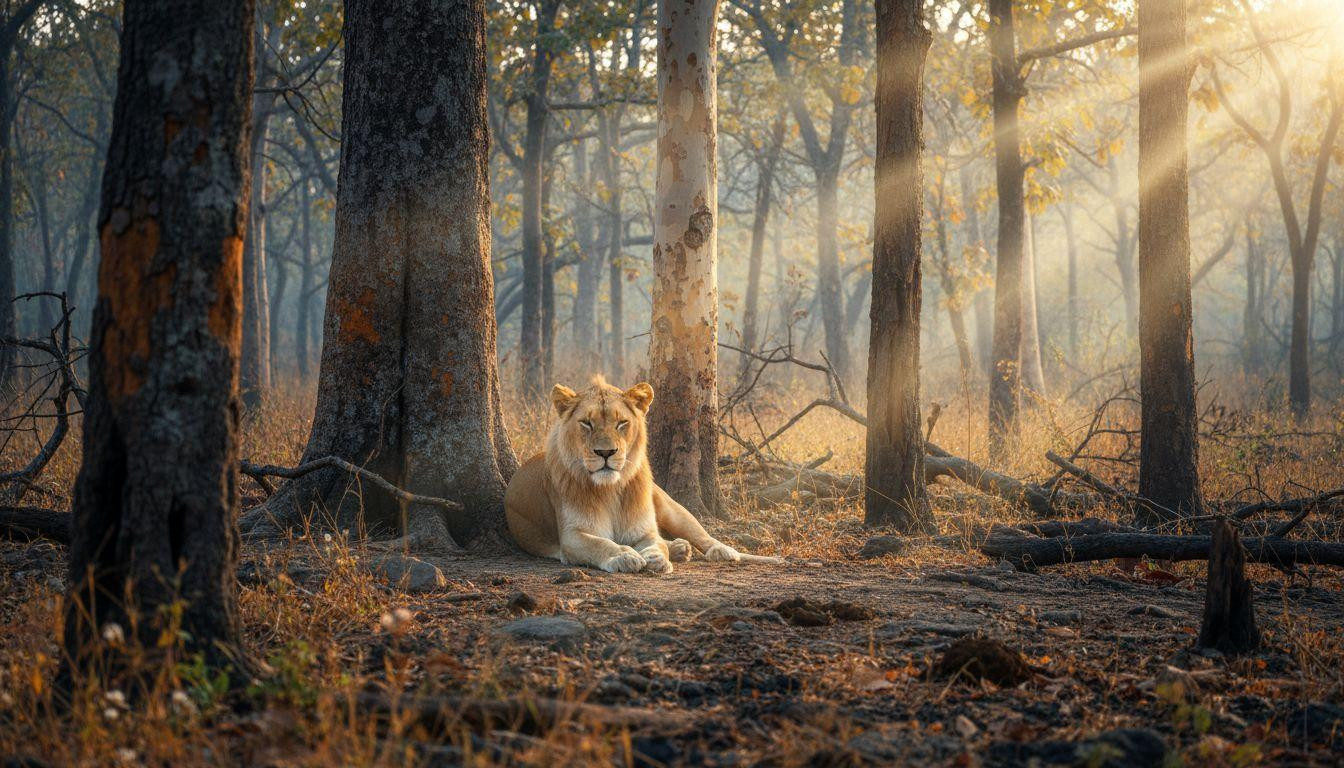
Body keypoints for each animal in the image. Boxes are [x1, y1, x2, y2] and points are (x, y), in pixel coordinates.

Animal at [505, 376, 780, 574]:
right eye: (586, 423)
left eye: (621, 423)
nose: (606, 452)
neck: (611, 489)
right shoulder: (572, 536)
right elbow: (600, 543)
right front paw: (624, 555)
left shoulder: (644, 530)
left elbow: (655, 542)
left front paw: (657, 558)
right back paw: (680, 549)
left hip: (671, 509)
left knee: (700, 533)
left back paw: (719, 551)